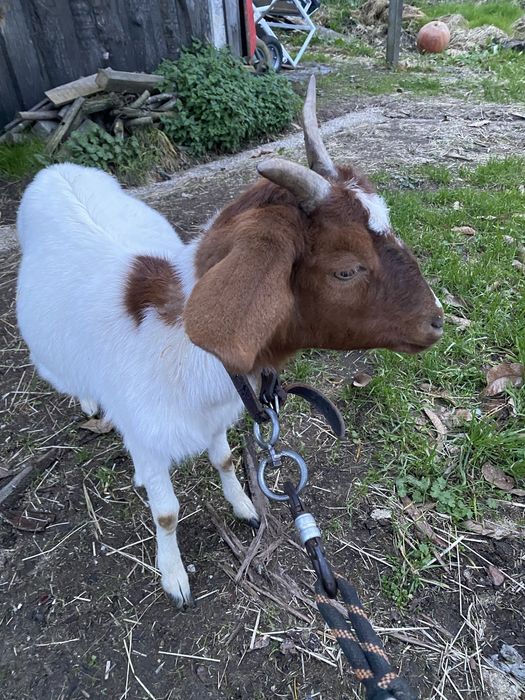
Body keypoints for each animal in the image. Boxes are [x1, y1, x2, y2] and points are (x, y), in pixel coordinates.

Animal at [16, 76, 443, 607]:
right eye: (346, 269)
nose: (436, 322)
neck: (179, 351)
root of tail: (53, 170)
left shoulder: (216, 419)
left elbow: (222, 457)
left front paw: (245, 507)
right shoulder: (148, 438)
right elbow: (166, 513)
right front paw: (174, 577)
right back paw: (90, 403)